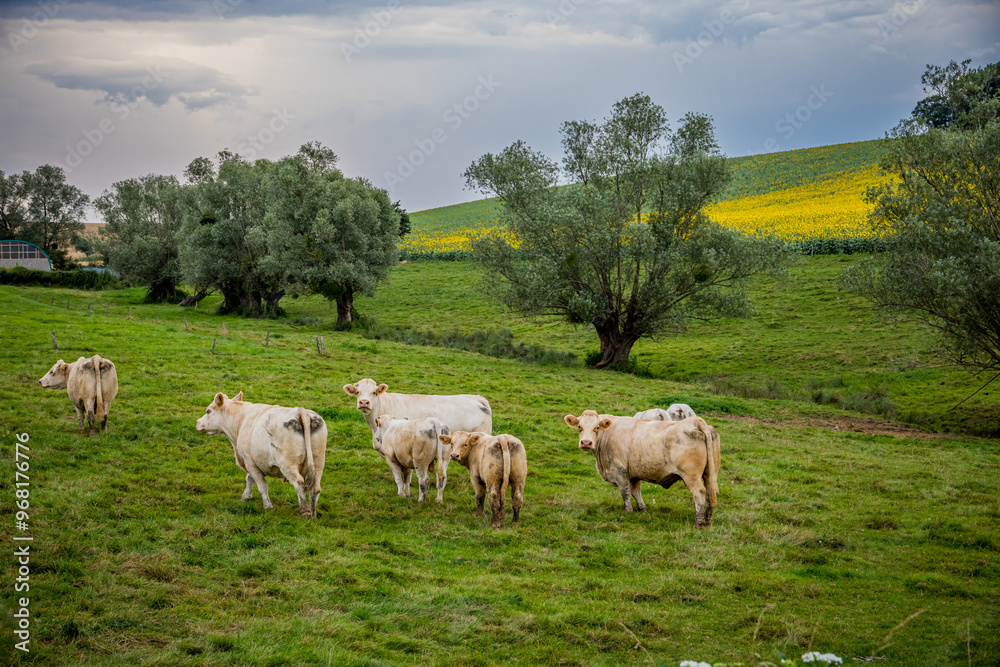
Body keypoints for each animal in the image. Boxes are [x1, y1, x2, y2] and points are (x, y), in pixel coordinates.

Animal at [195, 391, 327, 517]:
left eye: (208, 411)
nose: (197, 422)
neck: (241, 420)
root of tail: (300, 411)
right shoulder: (256, 462)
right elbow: (250, 479)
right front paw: (246, 497)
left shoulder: (249, 460)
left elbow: (261, 485)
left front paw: (267, 506)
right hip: (318, 463)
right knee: (315, 488)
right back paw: (313, 513)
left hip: (288, 465)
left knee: (299, 484)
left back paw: (305, 511)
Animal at [564, 410, 720, 527]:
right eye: (579, 427)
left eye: (596, 427)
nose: (586, 442)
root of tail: (695, 421)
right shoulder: (633, 474)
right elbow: (635, 491)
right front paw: (642, 509)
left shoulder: (620, 471)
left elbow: (625, 492)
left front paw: (628, 511)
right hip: (710, 474)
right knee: (710, 492)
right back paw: (708, 520)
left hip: (691, 476)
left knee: (699, 493)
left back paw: (699, 522)